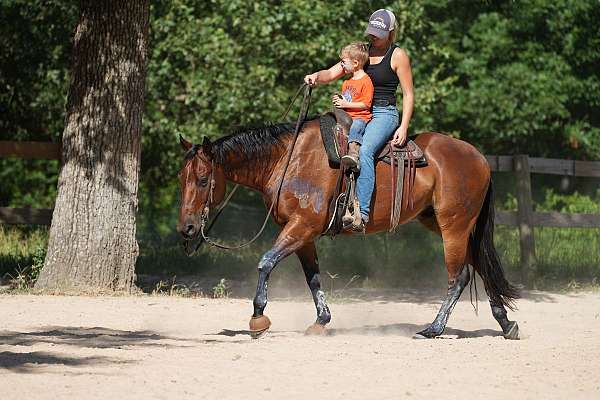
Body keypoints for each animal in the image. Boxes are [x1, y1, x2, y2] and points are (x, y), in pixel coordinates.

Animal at [178, 117, 520, 340]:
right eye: (182, 178)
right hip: (442, 223)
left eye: (204, 179)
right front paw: (321, 321)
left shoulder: (301, 226)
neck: (289, 160)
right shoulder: (303, 234)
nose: (187, 228)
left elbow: (265, 263)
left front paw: (258, 319)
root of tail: (480, 158)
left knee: (459, 276)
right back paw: (506, 324)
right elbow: (312, 277)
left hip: (454, 227)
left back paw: (434, 329)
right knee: (481, 268)